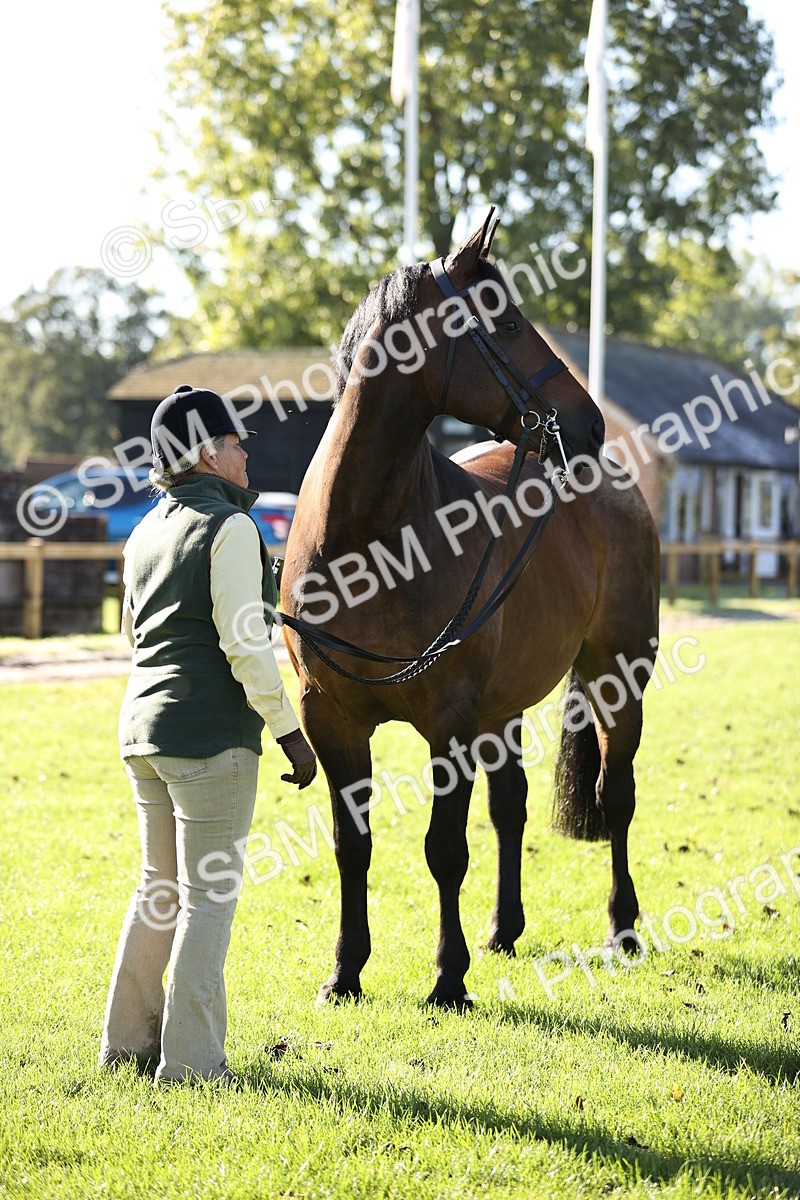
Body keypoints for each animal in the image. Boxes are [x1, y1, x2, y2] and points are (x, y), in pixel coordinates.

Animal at [280, 210, 660, 1008]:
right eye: (508, 322)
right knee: (510, 805)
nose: (589, 426)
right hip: (503, 705)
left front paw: (447, 979)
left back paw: (622, 927)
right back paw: (503, 929)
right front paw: (345, 971)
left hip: (617, 678)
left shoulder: (449, 719)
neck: (368, 539)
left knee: (616, 796)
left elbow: (443, 849)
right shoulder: (330, 718)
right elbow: (352, 845)